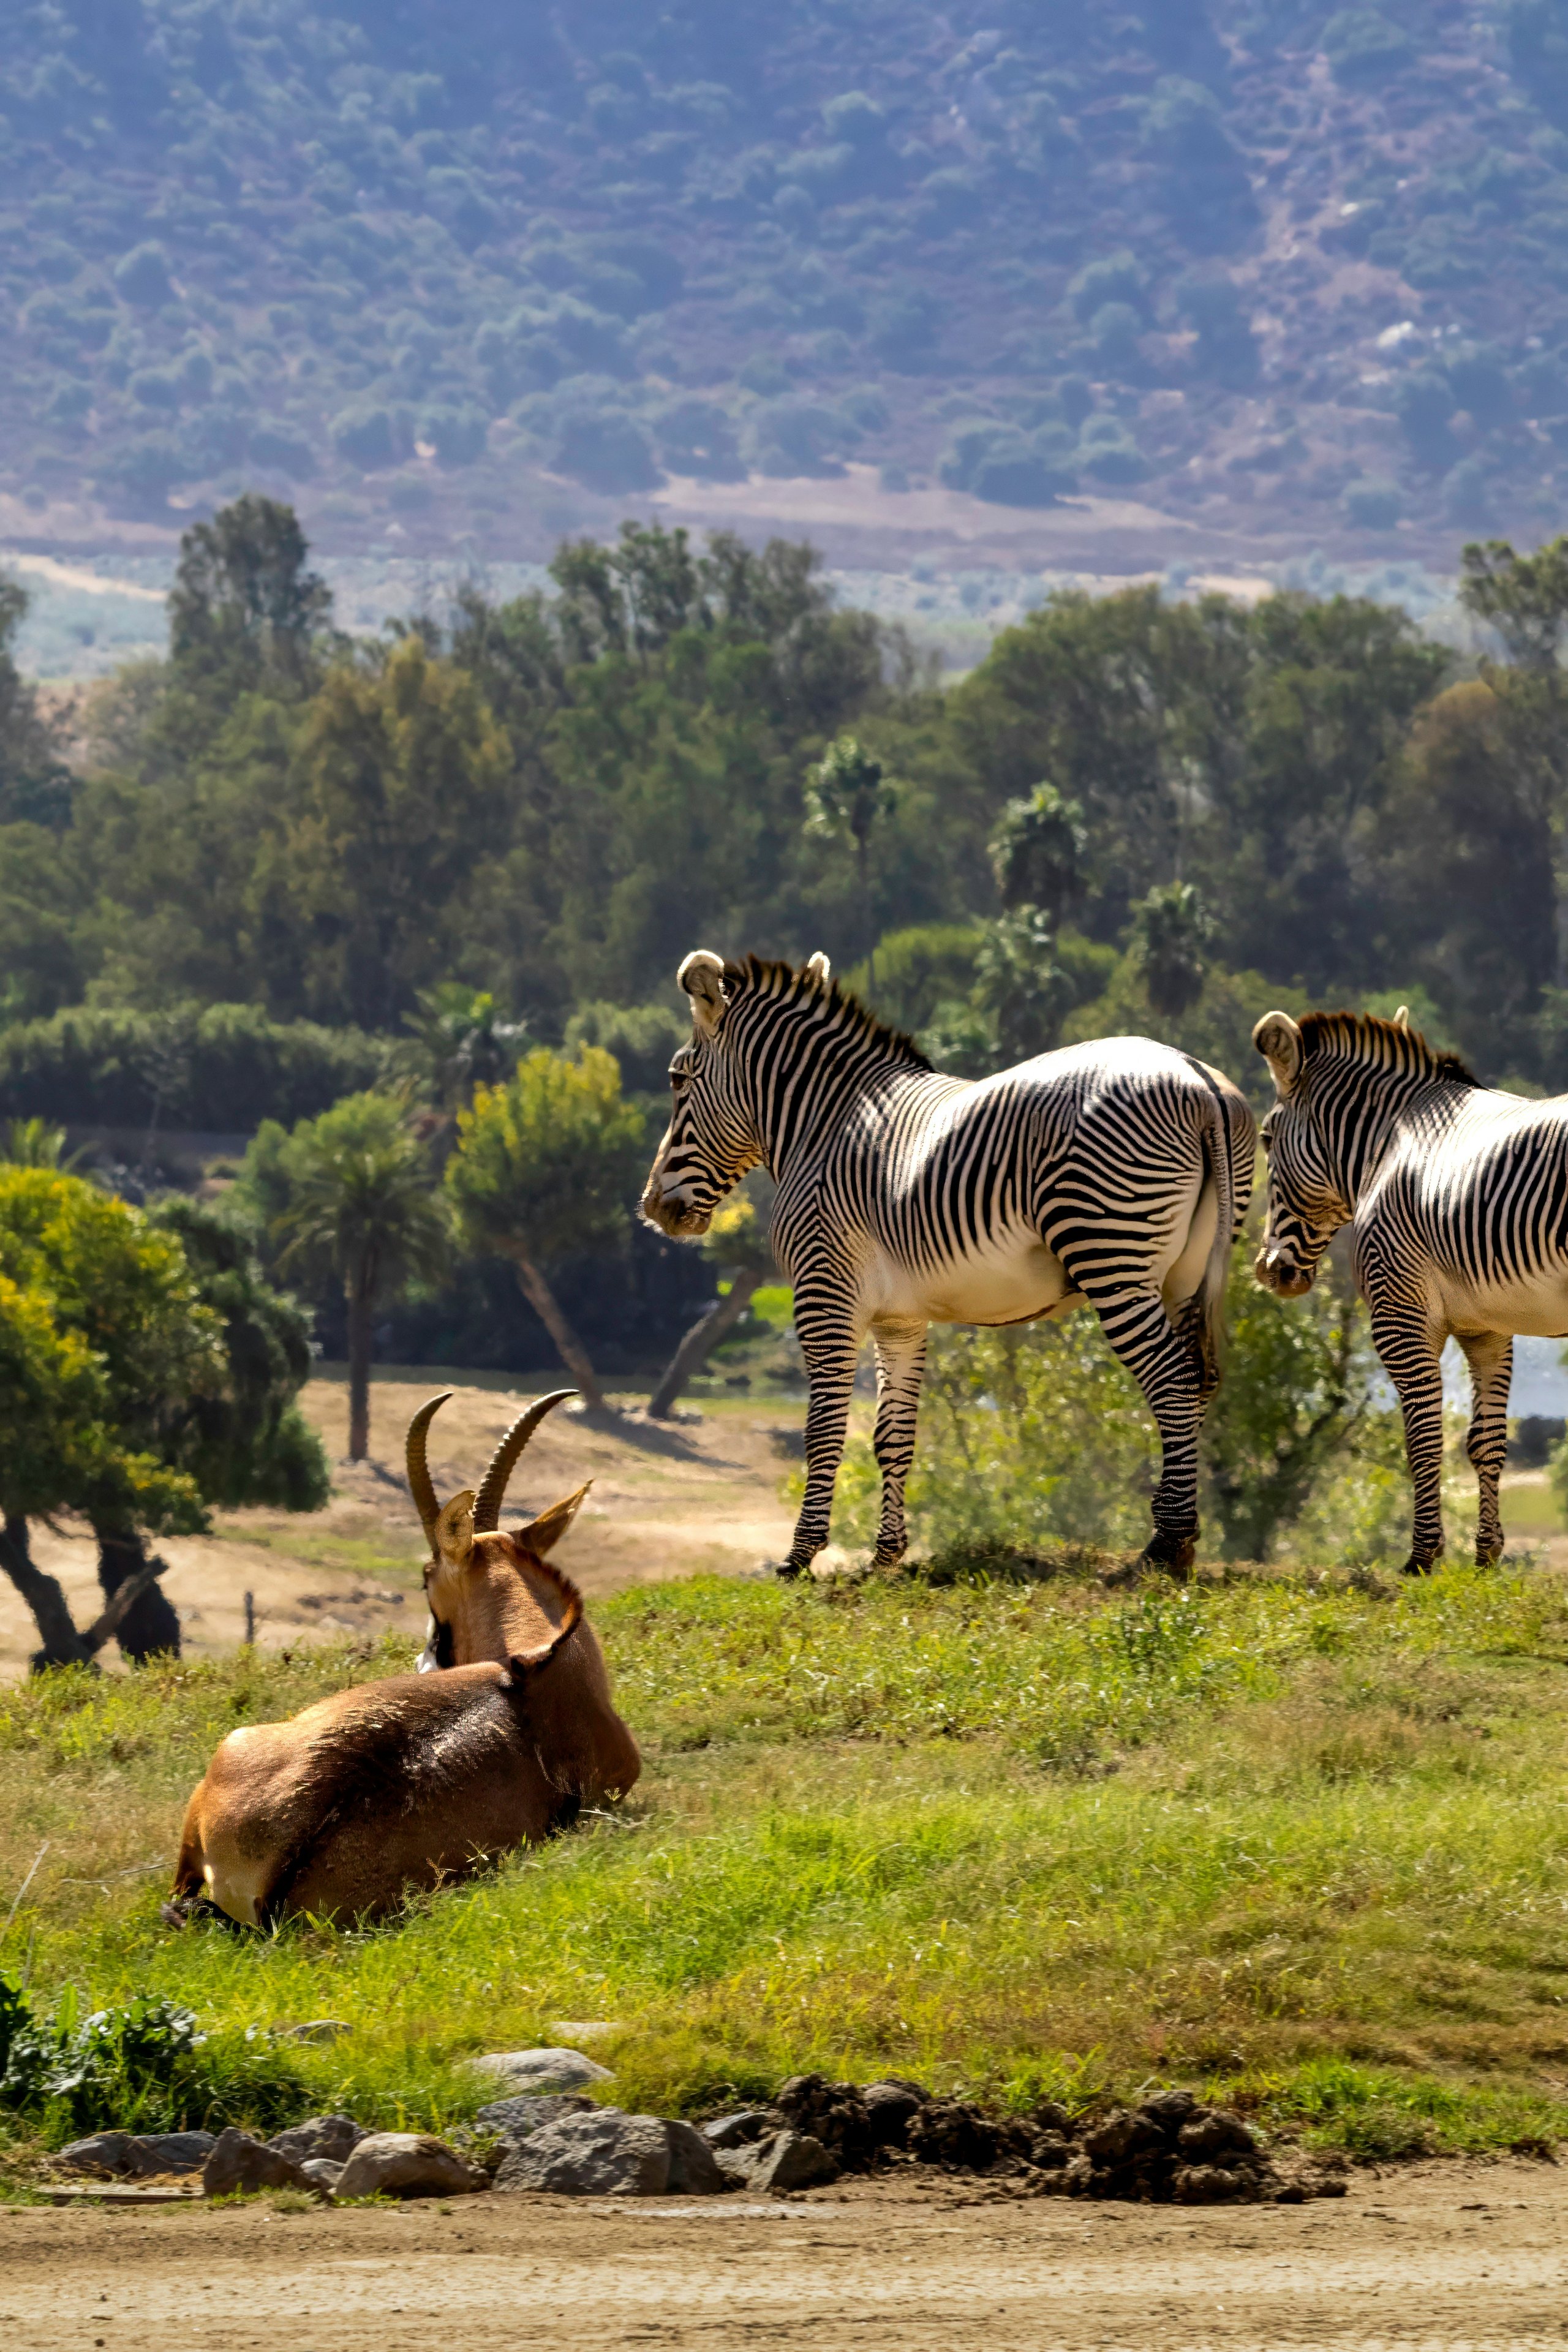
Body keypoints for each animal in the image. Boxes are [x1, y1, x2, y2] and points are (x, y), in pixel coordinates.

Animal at [641, 950, 1256, 1576]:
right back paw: (1180, 1534)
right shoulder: (900, 1318)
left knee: (1172, 1381)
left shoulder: (823, 1290)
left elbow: (823, 1430)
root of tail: (1197, 1078)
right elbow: (892, 1435)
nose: (654, 1209)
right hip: (1186, 1274)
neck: (823, 1125)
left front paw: (800, 1556)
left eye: (676, 1079)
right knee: (1196, 1382)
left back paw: (1166, 1544)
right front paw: (886, 1557)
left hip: (1113, 1258)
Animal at [1254, 1004, 1566, 1573]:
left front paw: (1423, 1558)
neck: (1388, 1146)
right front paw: (1486, 1558)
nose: (1271, 1274)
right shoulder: (1486, 1328)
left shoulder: (1399, 1313)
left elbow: (1422, 1437)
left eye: (1266, 1138)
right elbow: (1485, 1441)